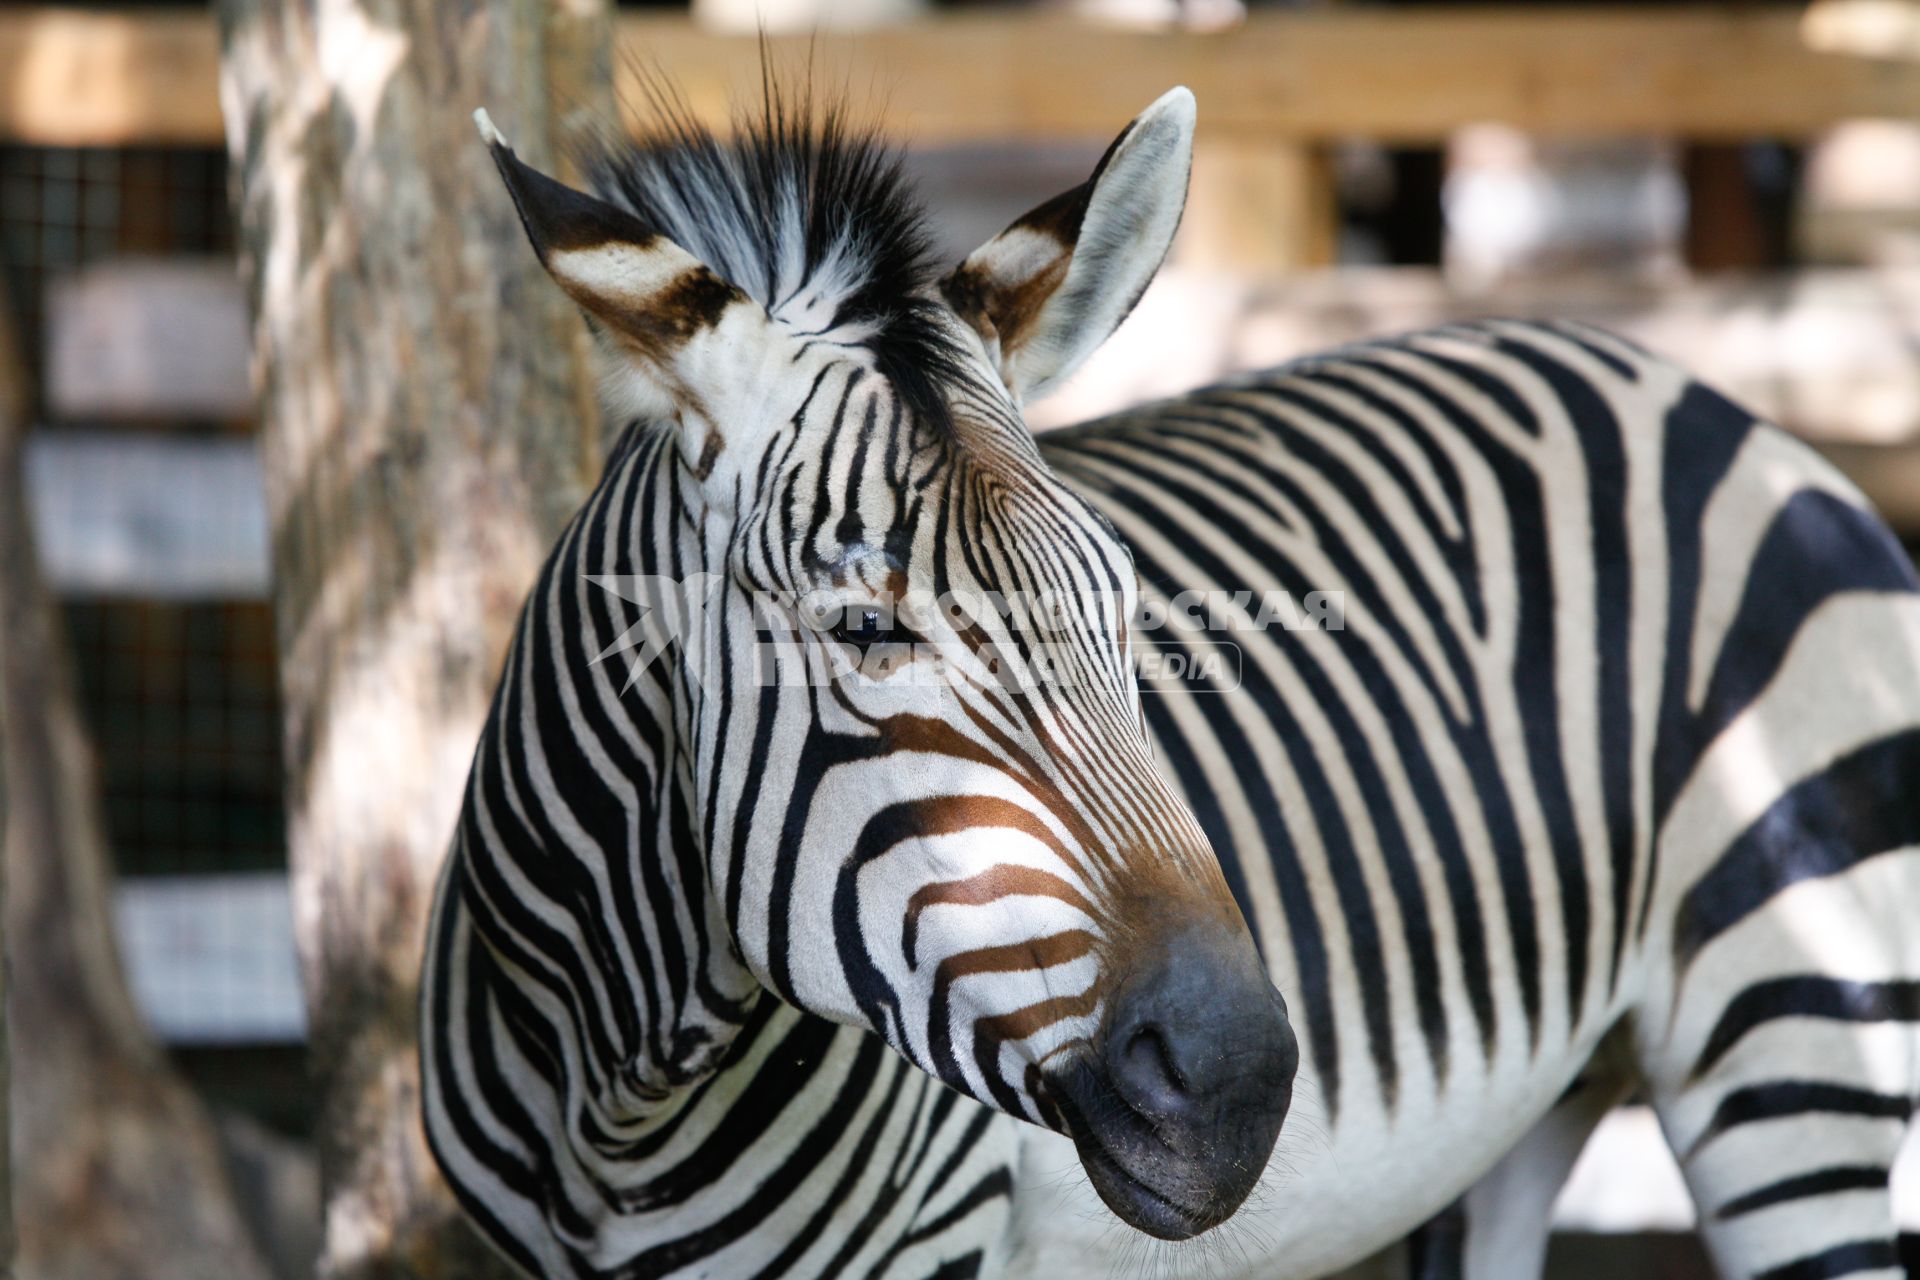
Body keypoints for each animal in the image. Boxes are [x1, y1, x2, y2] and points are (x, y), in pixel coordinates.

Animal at [424, 77, 1920, 1280]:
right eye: (862, 630)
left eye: (1126, 612)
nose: (1242, 1084)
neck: (622, 1096)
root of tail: (1705, 398)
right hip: (1529, 1115)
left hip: (1808, 1042)